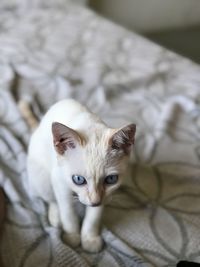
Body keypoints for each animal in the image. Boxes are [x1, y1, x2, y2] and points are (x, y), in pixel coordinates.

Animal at [25, 99, 136, 253]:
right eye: (78, 179)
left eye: (111, 179)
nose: (95, 201)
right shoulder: (60, 181)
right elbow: (67, 211)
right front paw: (72, 236)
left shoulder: (104, 196)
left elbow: (94, 216)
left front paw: (89, 238)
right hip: (41, 178)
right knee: (50, 199)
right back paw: (55, 217)